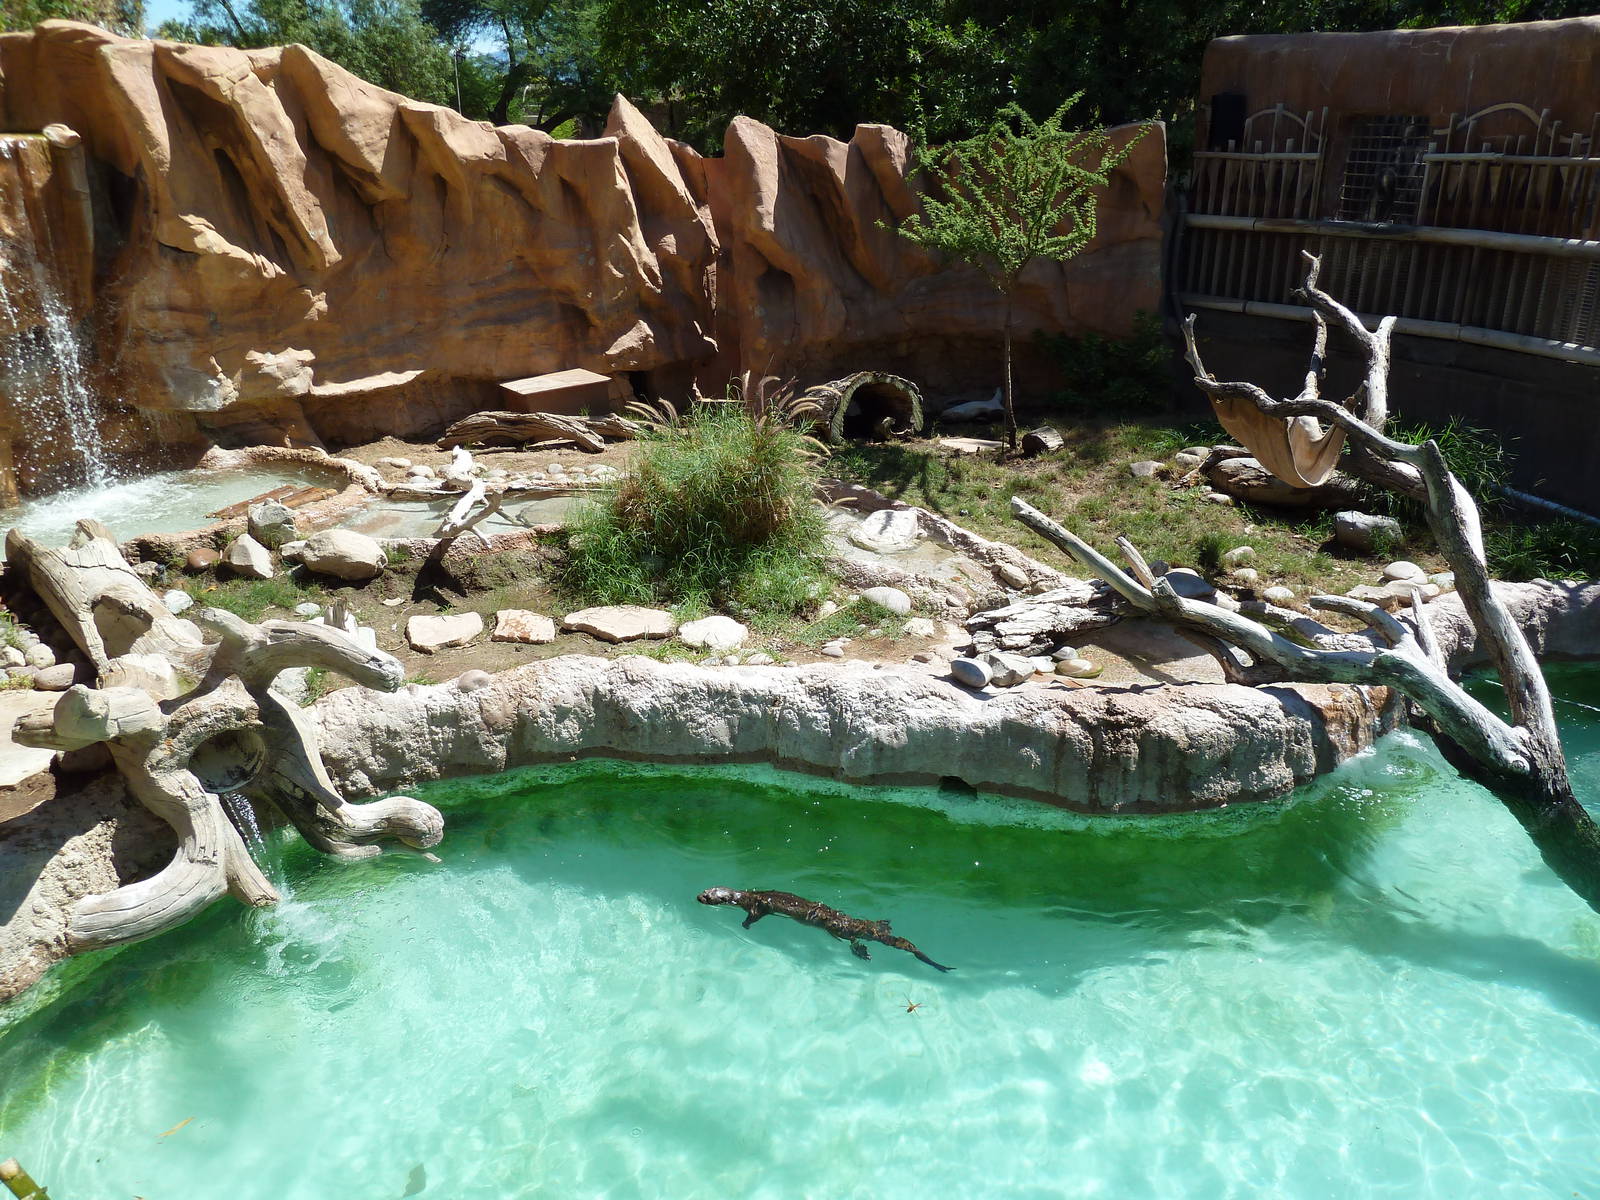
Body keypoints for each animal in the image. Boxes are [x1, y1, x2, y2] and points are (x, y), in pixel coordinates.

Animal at [697, 887, 952, 972]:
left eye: (707, 896)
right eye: (705, 890)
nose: (697, 896)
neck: (743, 896)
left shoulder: (757, 906)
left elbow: (753, 917)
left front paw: (745, 925)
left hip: (837, 928)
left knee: (852, 939)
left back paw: (862, 952)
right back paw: (883, 924)